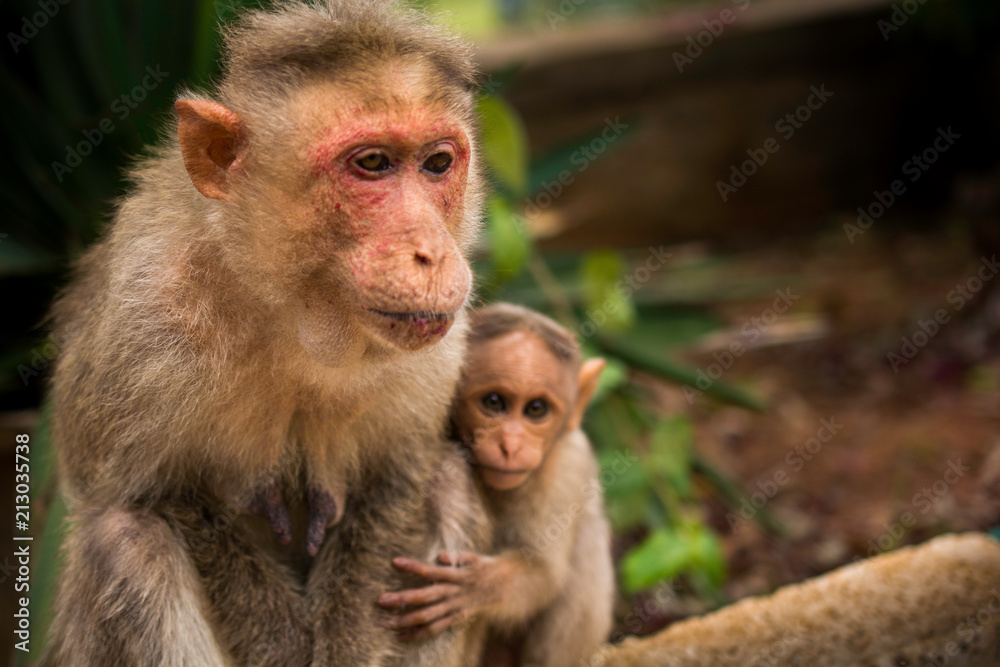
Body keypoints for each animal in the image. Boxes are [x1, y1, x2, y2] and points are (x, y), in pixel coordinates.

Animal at [41, 1, 492, 665]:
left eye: (438, 163)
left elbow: (400, 476)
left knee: (448, 479)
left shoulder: (437, 345)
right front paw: (278, 643)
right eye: (373, 165)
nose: (432, 253)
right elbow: (146, 496)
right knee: (126, 541)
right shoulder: (145, 327)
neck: (294, 311)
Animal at [378, 303, 616, 667]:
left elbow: (544, 574)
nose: (511, 446)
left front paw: (478, 587)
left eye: (536, 409)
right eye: (493, 402)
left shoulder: (567, 465)